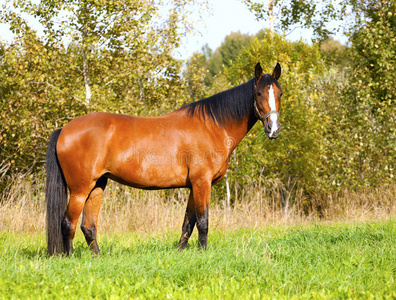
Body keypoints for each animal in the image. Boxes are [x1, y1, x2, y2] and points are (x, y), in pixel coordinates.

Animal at [45, 62, 282, 255]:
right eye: (258, 93)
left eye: (279, 93)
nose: (273, 129)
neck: (213, 125)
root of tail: (64, 129)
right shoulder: (202, 183)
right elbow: (203, 222)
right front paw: (203, 253)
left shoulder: (193, 186)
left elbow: (188, 223)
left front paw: (181, 252)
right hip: (80, 189)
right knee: (68, 224)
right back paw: (70, 257)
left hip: (97, 186)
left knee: (88, 226)